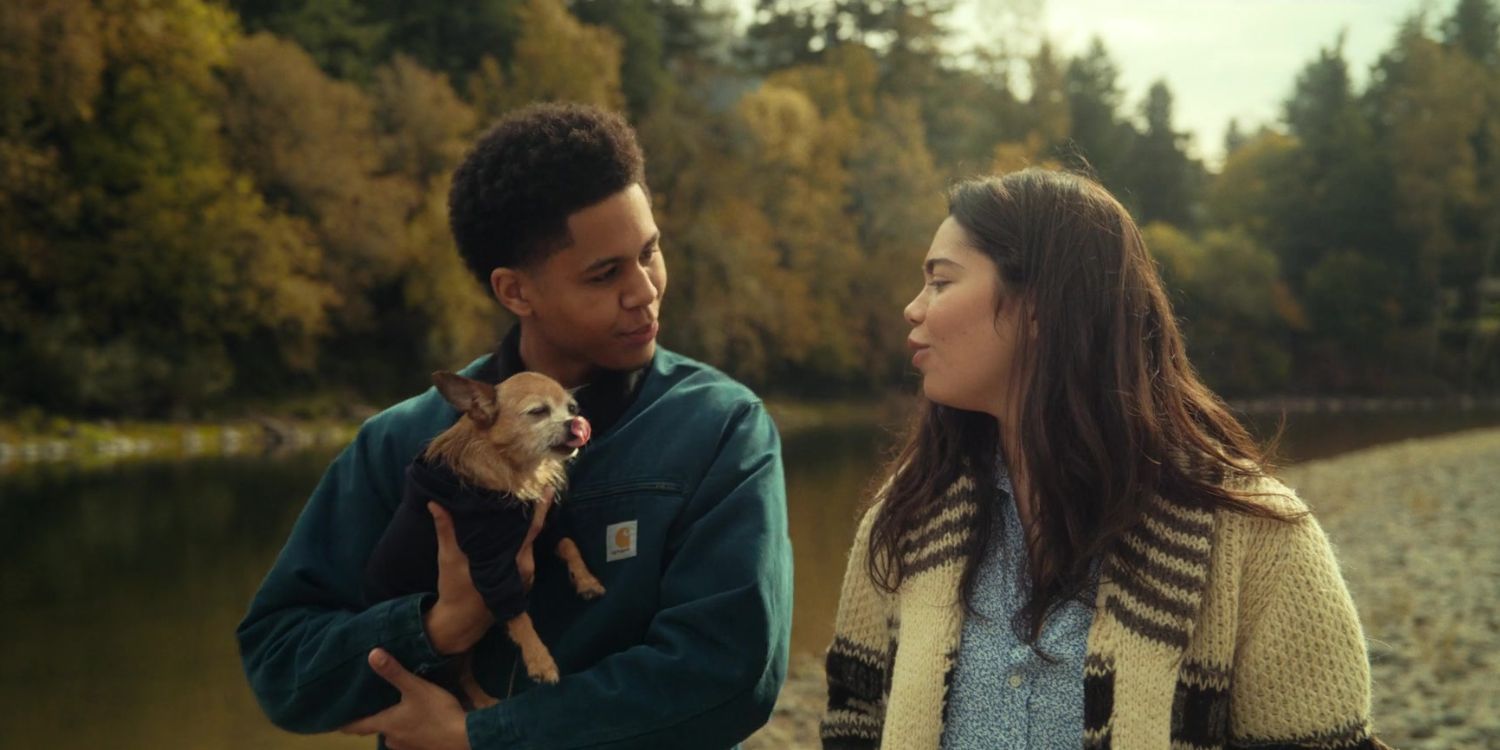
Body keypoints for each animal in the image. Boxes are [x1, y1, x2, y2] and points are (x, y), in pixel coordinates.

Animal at [363, 370, 603, 708]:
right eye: (538, 412)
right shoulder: (491, 564)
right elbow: (518, 615)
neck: (513, 468)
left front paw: (586, 581)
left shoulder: (538, 533)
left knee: (462, 676)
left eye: (571, 408)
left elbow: (568, 544)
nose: (576, 422)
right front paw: (540, 661)